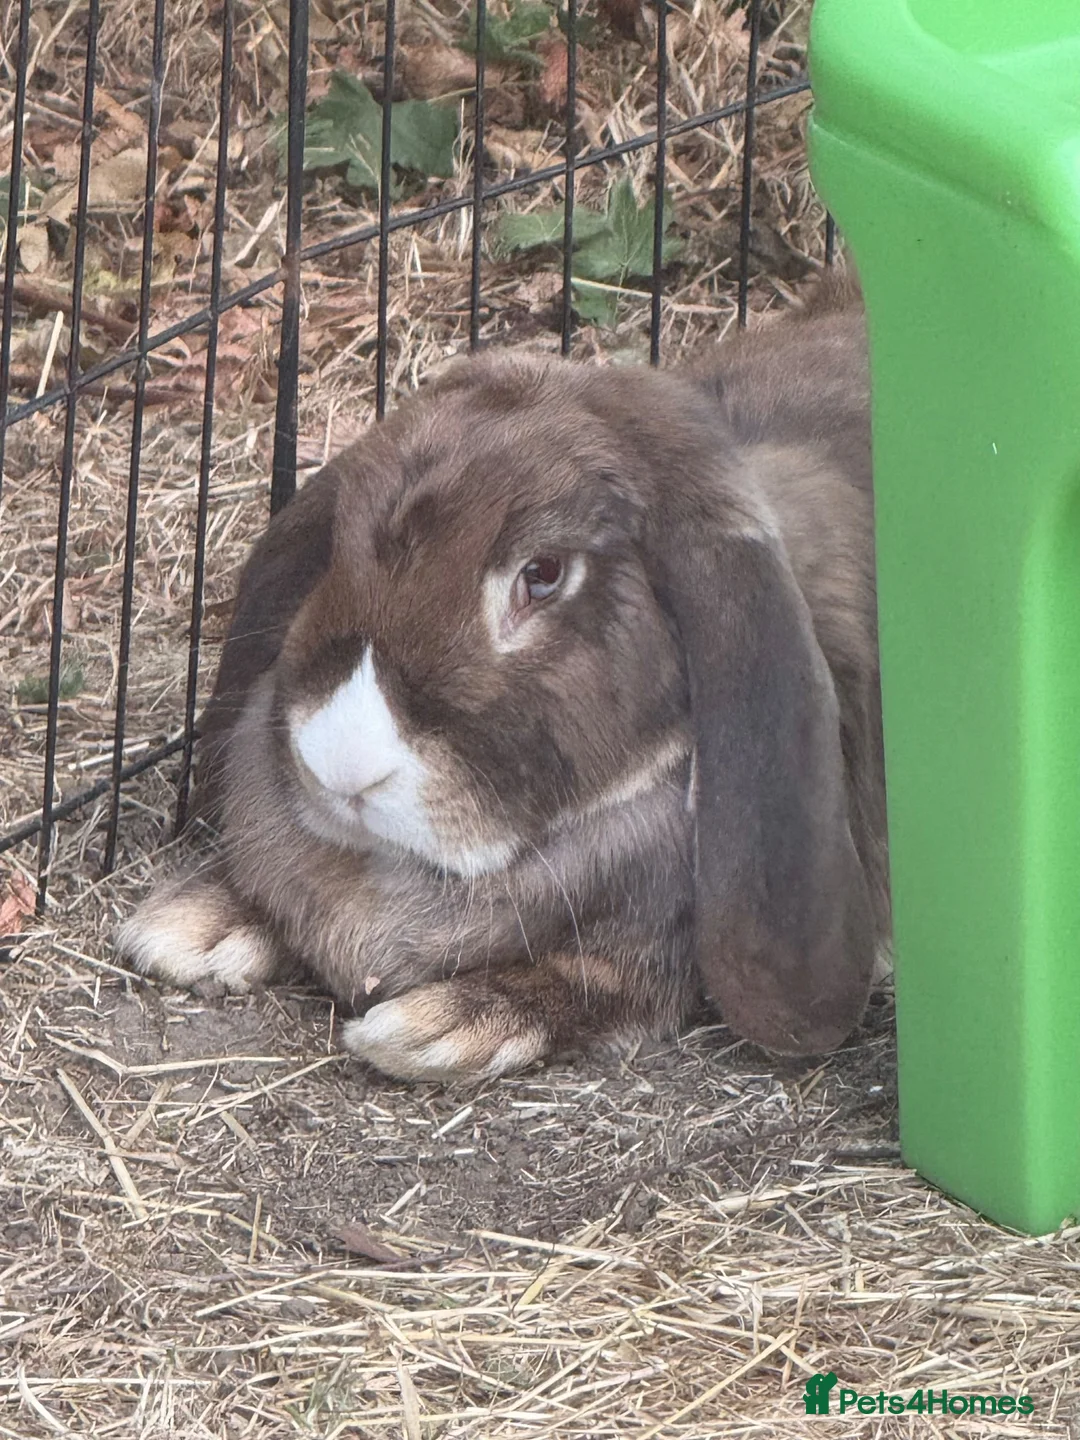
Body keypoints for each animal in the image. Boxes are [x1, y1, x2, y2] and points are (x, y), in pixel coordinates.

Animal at [117, 273, 889, 1081]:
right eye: (338, 544)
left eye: (543, 574)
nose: (341, 767)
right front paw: (194, 925)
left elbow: (599, 985)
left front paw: (438, 1027)